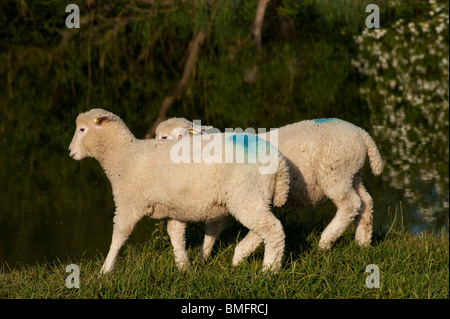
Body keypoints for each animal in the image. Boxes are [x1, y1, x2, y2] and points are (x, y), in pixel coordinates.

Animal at [68, 109, 290, 274]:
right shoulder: (176, 207)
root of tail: (280, 163)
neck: (124, 156)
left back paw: (269, 270)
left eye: (82, 129)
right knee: (262, 229)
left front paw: (105, 271)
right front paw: (184, 267)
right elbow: (175, 235)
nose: (70, 152)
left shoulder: (128, 204)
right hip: (256, 197)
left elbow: (118, 237)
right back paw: (239, 256)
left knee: (273, 229)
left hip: (245, 195)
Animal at [155, 116, 384, 258]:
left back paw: (325, 241)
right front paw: (204, 257)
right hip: (352, 174)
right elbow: (213, 228)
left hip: (336, 174)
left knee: (350, 204)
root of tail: (362, 134)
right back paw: (362, 242)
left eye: (166, 138)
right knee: (366, 202)